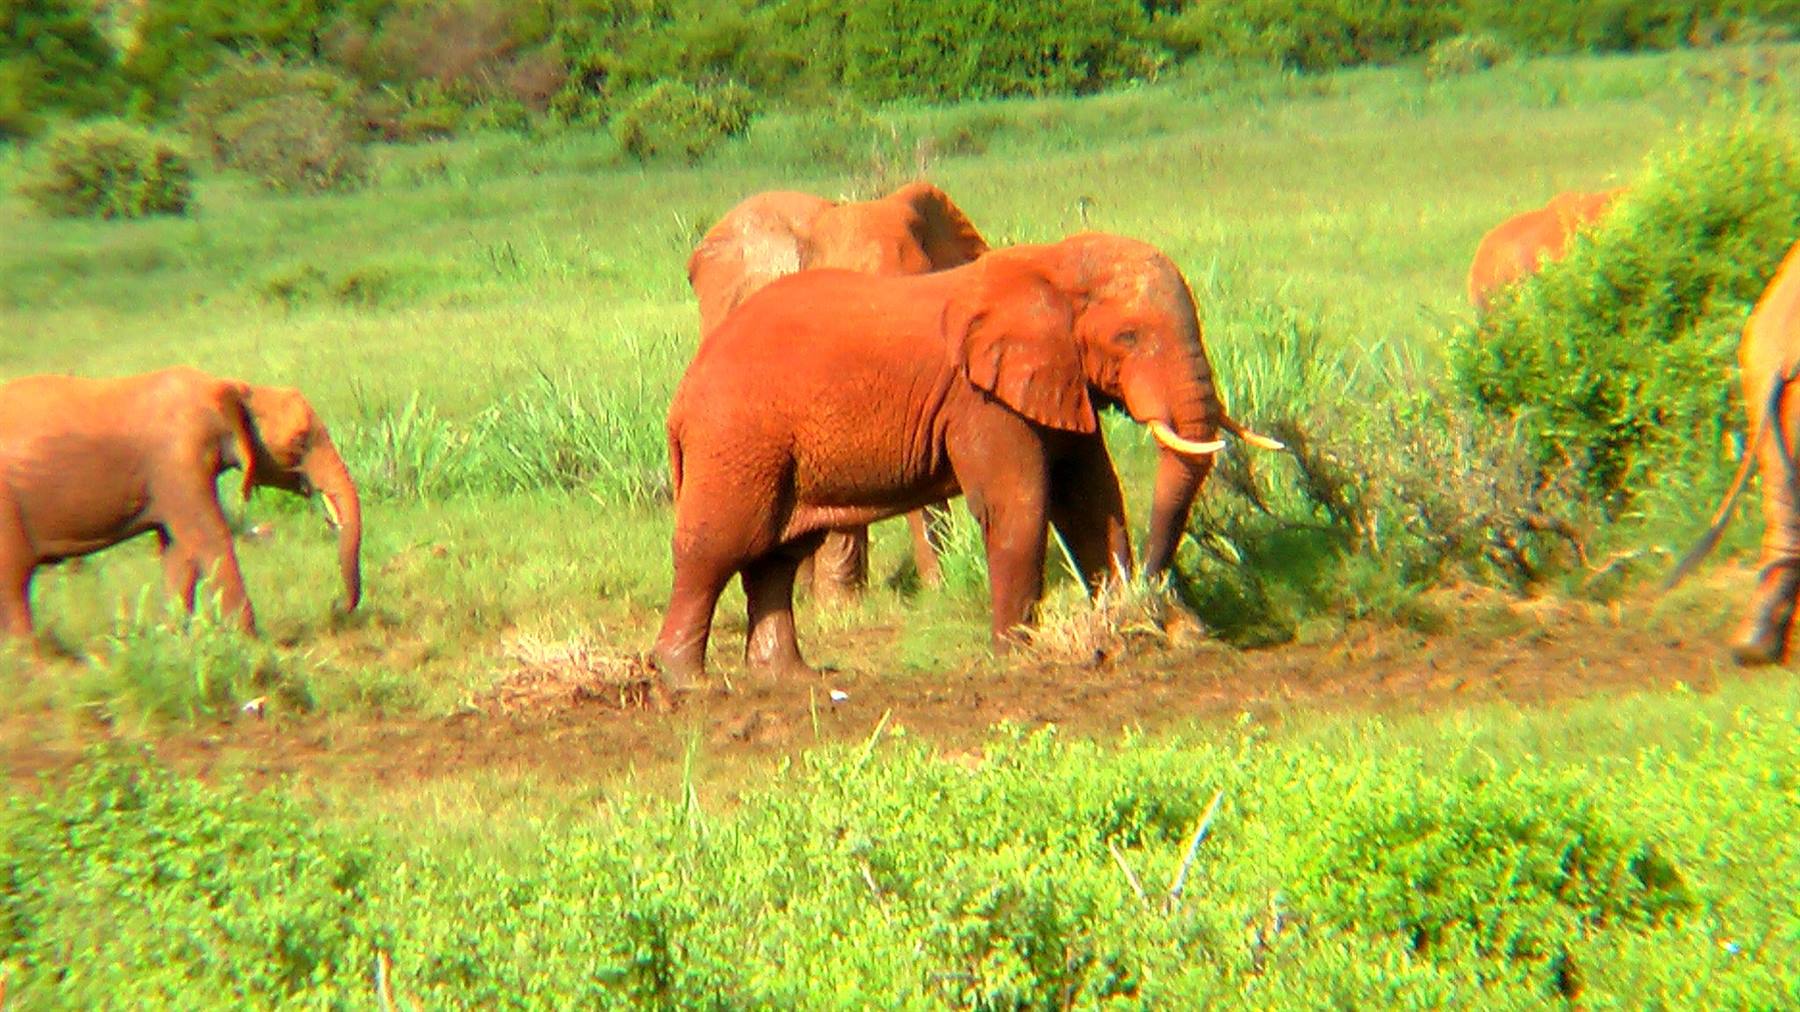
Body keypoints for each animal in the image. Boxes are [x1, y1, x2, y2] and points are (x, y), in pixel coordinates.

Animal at [0, 367, 363, 639]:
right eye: (300, 440)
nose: (336, 606)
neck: (230, 387)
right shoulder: (179, 460)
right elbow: (208, 537)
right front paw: (251, 641)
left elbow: (177, 548)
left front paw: (176, 636)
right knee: (13, 582)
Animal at [650, 232, 1282, 689]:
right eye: (1128, 337)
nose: (1161, 603)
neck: (1049, 265)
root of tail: (682, 394)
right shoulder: (979, 399)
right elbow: (1020, 504)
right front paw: (1019, 657)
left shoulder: (1056, 379)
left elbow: (1091, 499)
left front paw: (1128, 627)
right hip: (736, 441)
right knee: (717, 549)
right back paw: (686, 682)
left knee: (776, 558)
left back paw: (790, 678)